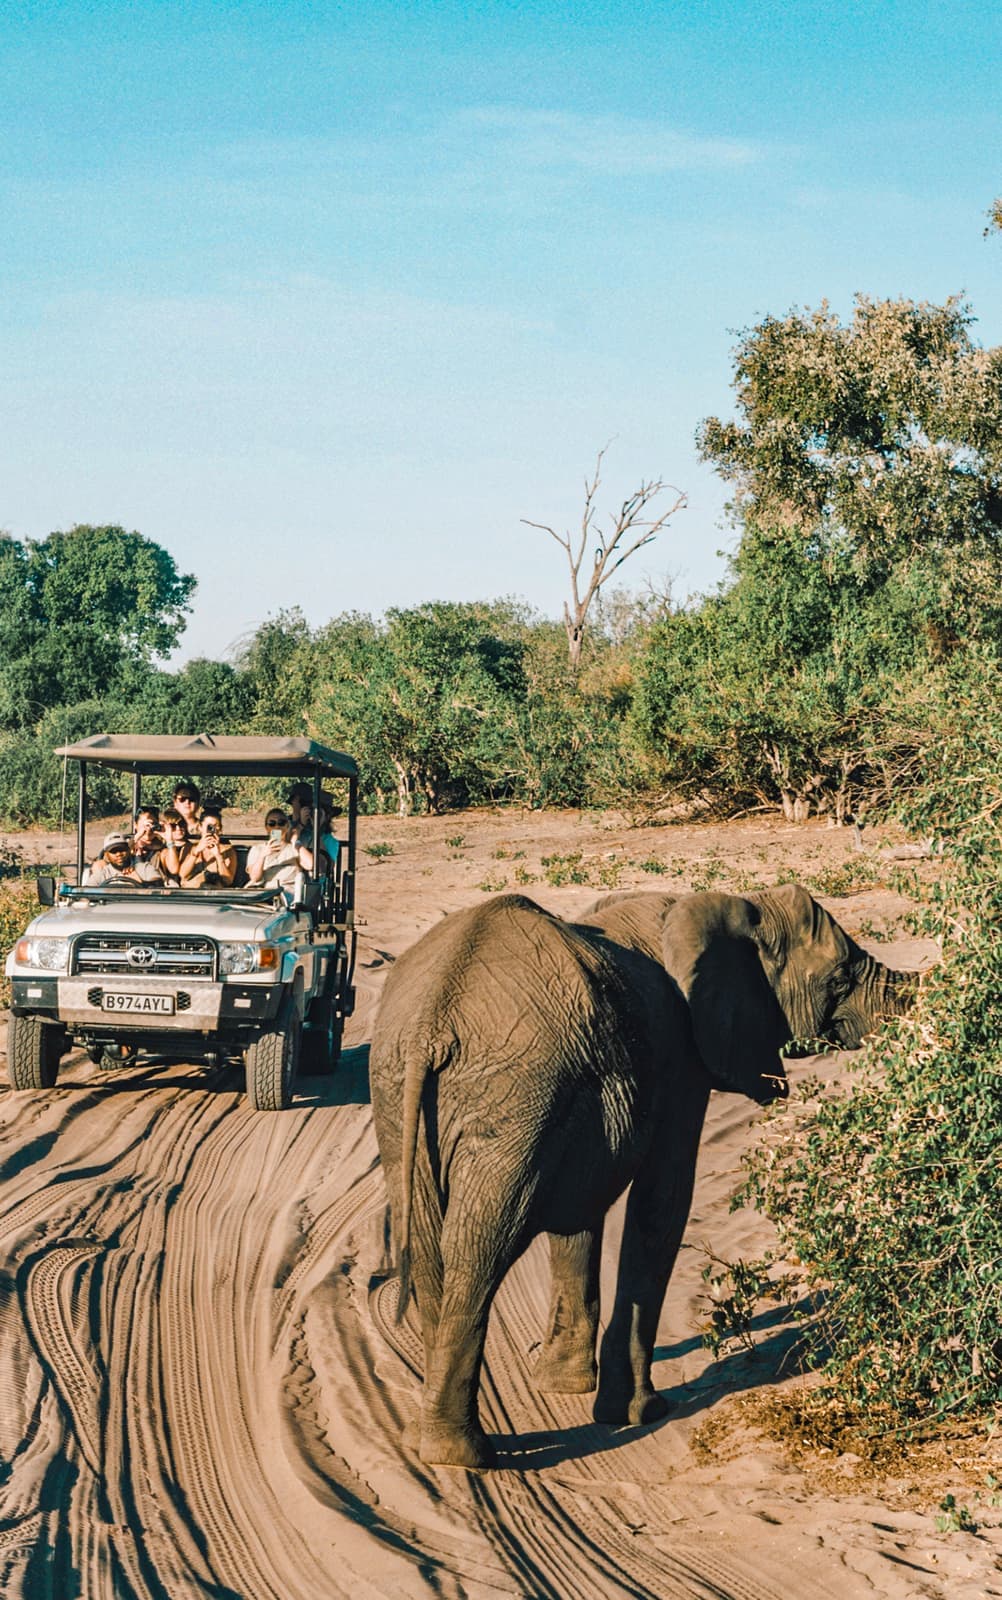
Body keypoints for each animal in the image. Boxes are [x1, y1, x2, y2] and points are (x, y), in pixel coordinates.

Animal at [369, 885, 915, 1469]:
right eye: (839, 978)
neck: (728, 901)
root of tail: (431, 1023)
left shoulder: (584, 1097)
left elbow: (581, 1213)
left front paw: (565, 1386)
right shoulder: (681, 1056)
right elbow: (663, 1200)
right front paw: (640, 1413)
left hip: (409, 1097)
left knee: (432, 1248)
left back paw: (429, 1440)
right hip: (512, 1098)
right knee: (478, 1248)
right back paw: (457, 1455)